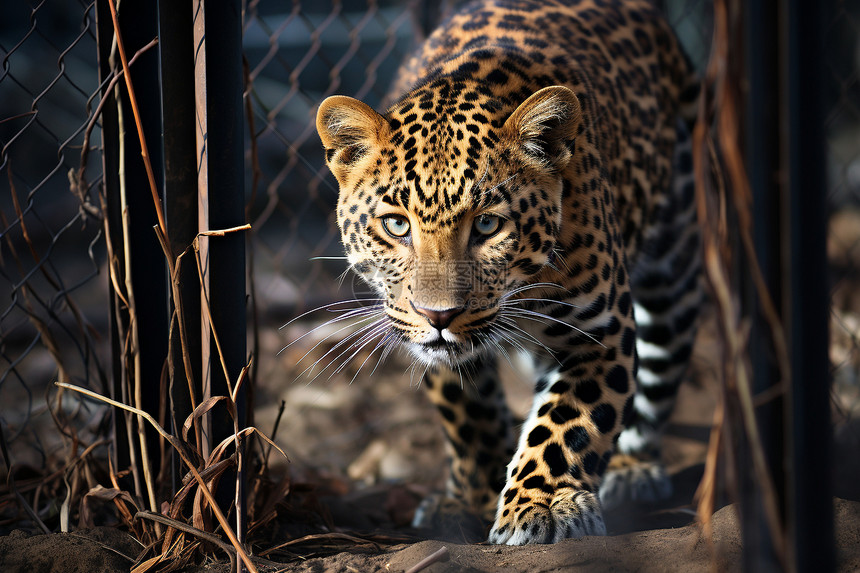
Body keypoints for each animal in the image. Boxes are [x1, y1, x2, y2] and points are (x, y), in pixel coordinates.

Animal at [312, 0, 704, 544]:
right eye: (396, 224)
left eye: (488, 224)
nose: (438, 316)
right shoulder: (427, 342)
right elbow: (469, 416)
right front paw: (473, 497)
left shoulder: (598, 334)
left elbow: (567, 424)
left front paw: (543, 506)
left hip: (674, 268)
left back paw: (633, 468)